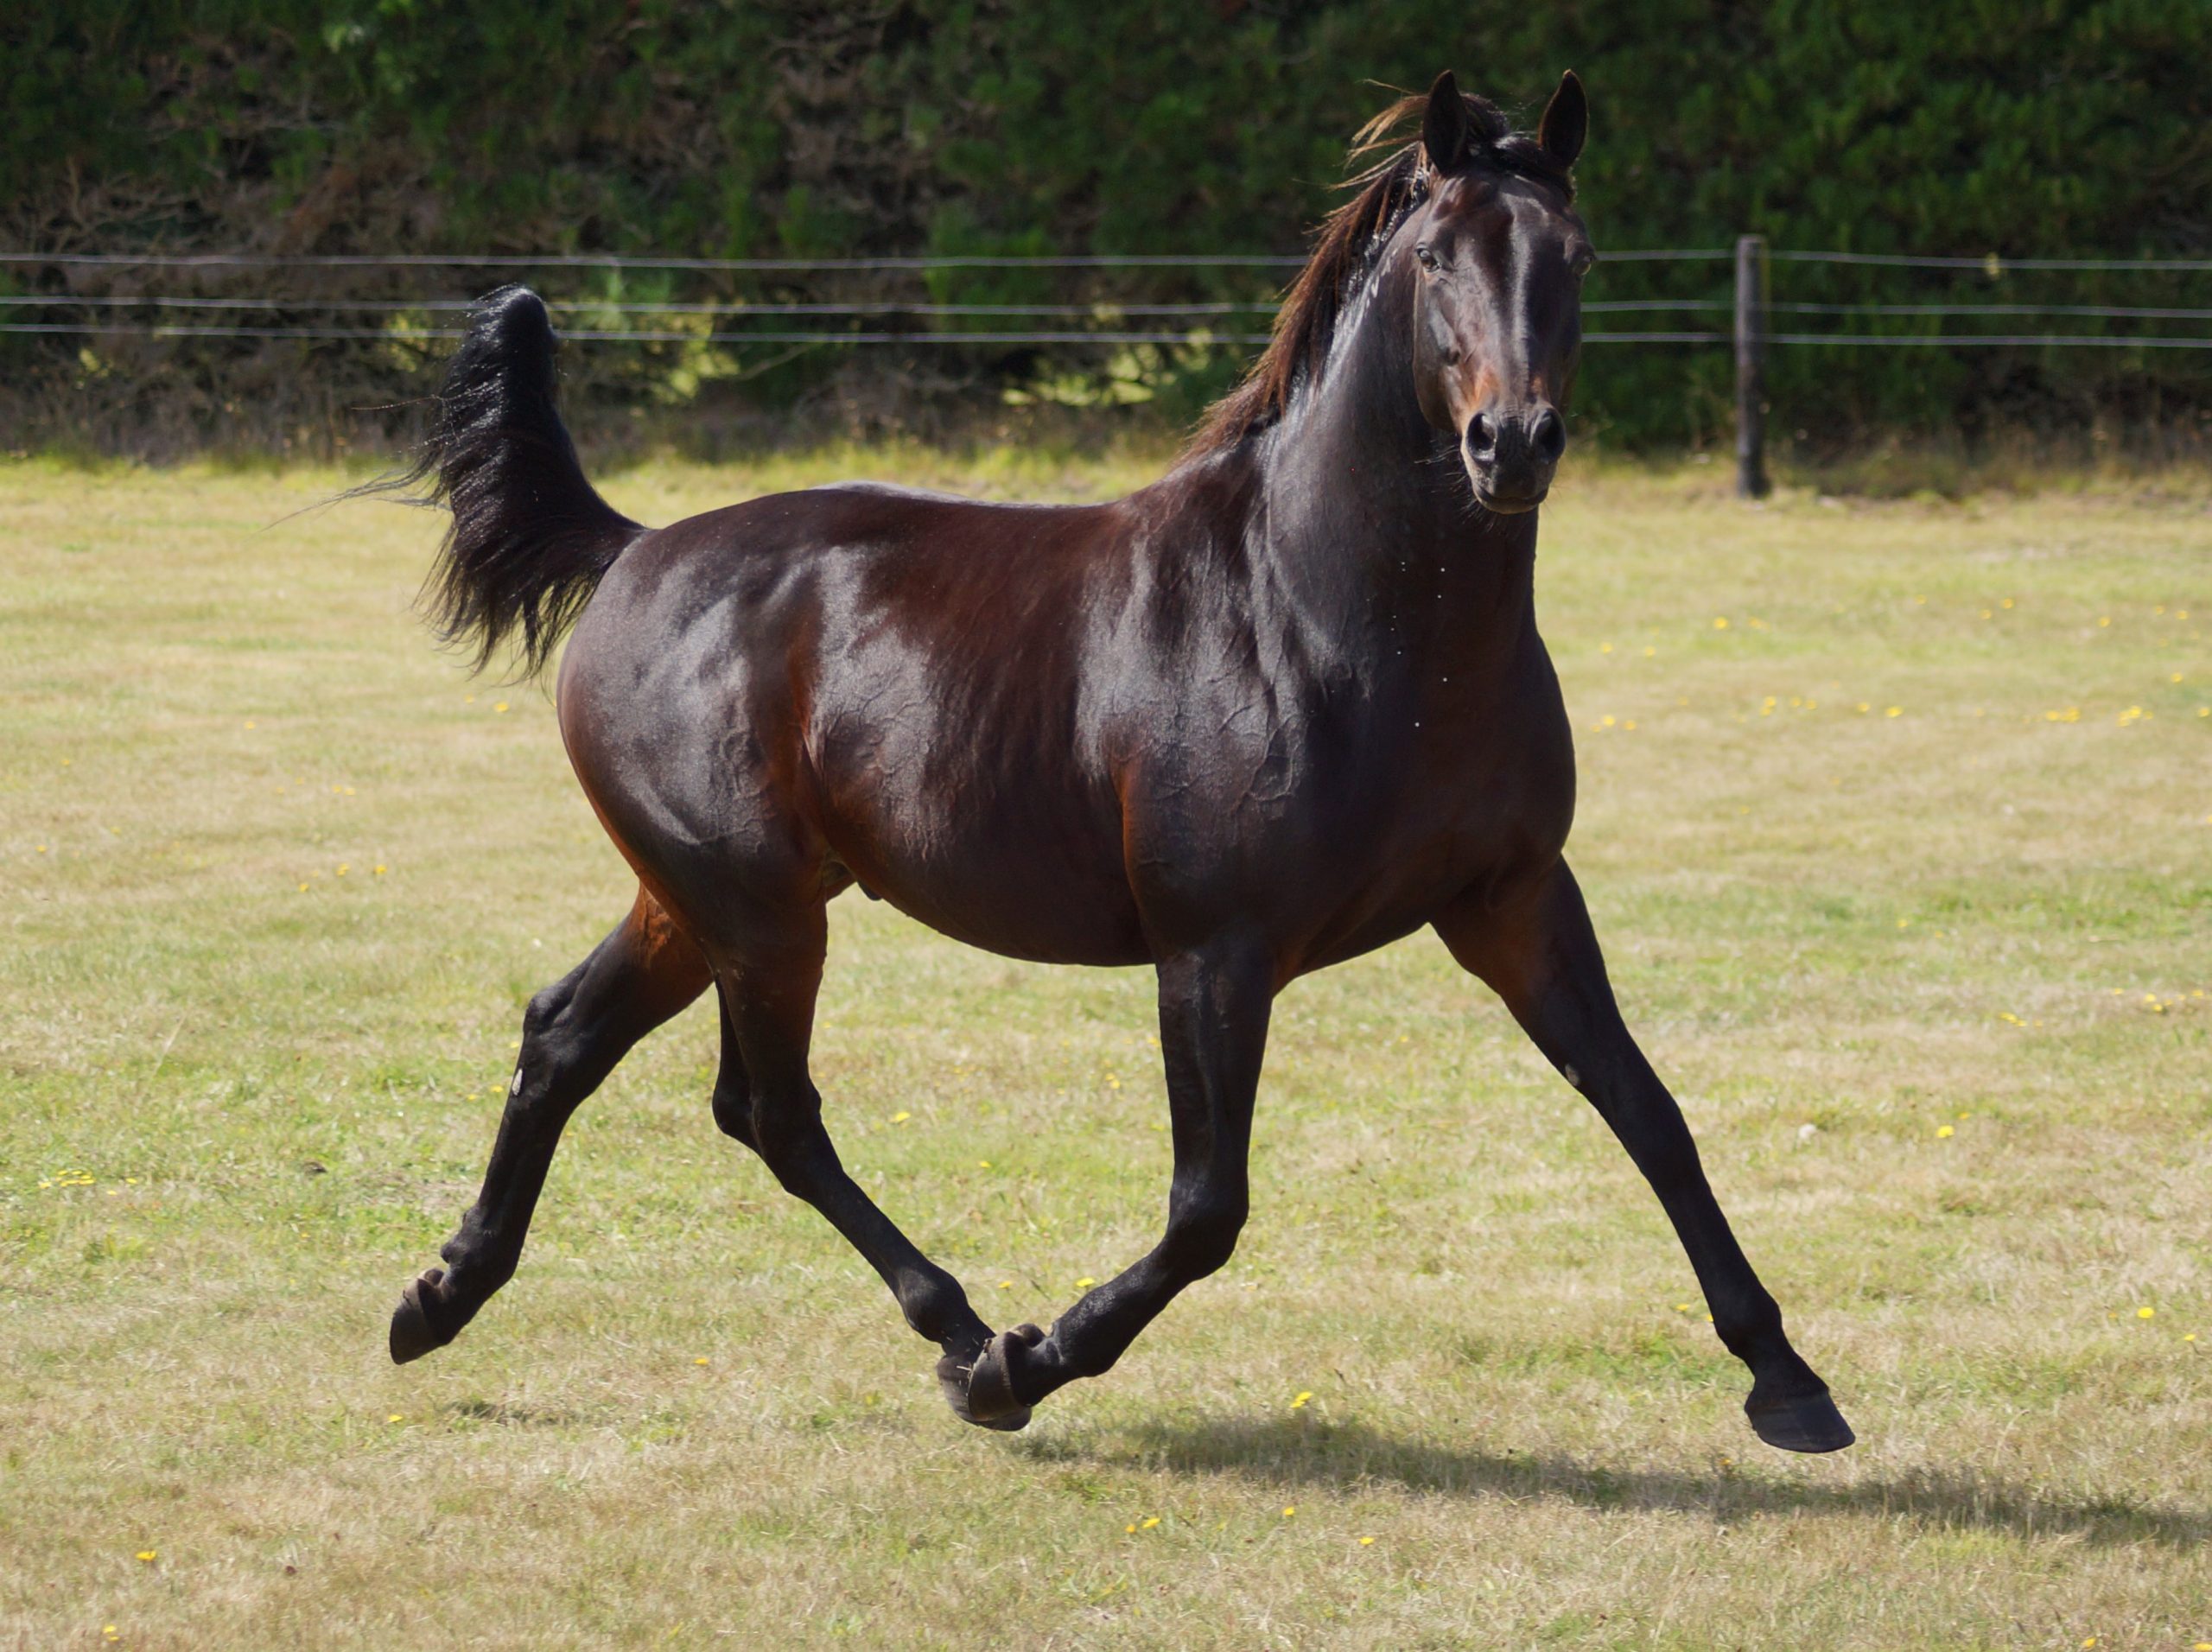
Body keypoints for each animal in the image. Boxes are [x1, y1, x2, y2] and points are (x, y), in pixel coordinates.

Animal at [373, 70, 1853, 1454]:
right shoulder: (1215, 952)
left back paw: (438, 1297)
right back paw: (960, 1334)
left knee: (568, 1033)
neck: (1335, 617)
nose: (1514, 445)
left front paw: (1790, 1383)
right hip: (760, 912)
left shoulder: (1517, 901)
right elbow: (1208, 1211)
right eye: (1439, 254)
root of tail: (631, 552)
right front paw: (1025, 1364)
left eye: (1579, 257)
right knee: (769, 1109)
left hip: (709, 902)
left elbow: (1649, 1112)